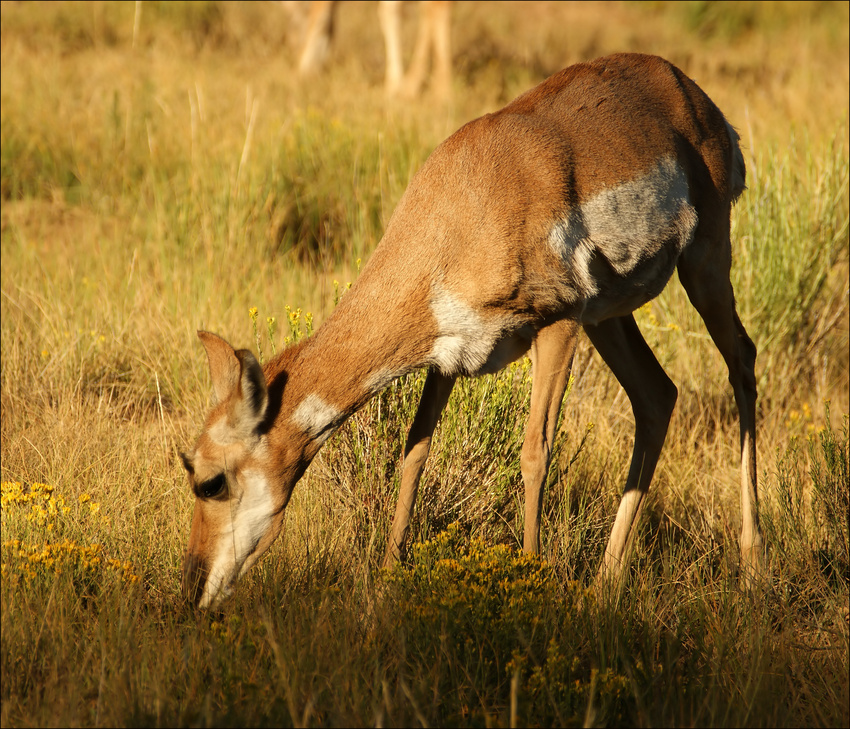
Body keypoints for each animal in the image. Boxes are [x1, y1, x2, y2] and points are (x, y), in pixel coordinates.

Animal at [181, 54, 760, 604]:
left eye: (211, 482)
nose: (191, 588)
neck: (459, 209)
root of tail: (689, 92)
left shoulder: (558, 324)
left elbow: (534, 452)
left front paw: (530, 578)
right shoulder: (448, 357)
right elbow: (414, 453)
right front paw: (386, 581)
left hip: (702, 265)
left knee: (743, 361)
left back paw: (753, 560)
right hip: (610, 317)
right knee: (657, 395)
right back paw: (605, 585)